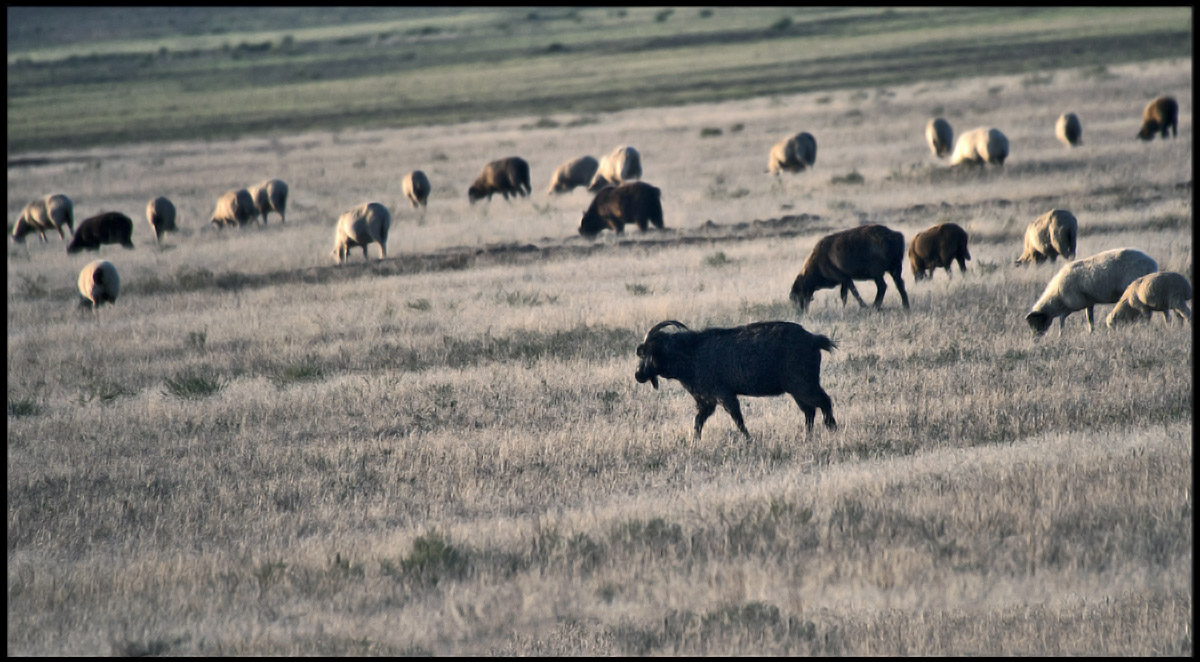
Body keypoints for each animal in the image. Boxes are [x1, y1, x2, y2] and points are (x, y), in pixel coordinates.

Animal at [638, 321, 835, 438]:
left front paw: (748, 439)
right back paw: (808, 436)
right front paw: (694, 441)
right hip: (796, 390)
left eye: (649, 352)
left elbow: (737, 419)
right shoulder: (706, 402)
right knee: (810, 411)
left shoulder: (724, 395)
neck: (691, 351)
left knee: (824, 402)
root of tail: (814, 340)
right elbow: (698, 422)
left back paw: (832, 429)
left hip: (804, 385)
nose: (638, 375)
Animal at [1027, 247, 1156, 335]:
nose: (1035, 340)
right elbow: (1090, 319)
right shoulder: (1088, 303)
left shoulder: (1074, 303)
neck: (1057, 296)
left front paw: (1061, 334)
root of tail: (1152, 263)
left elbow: (1062, 318)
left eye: (1036, 323)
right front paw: (1091, 332)